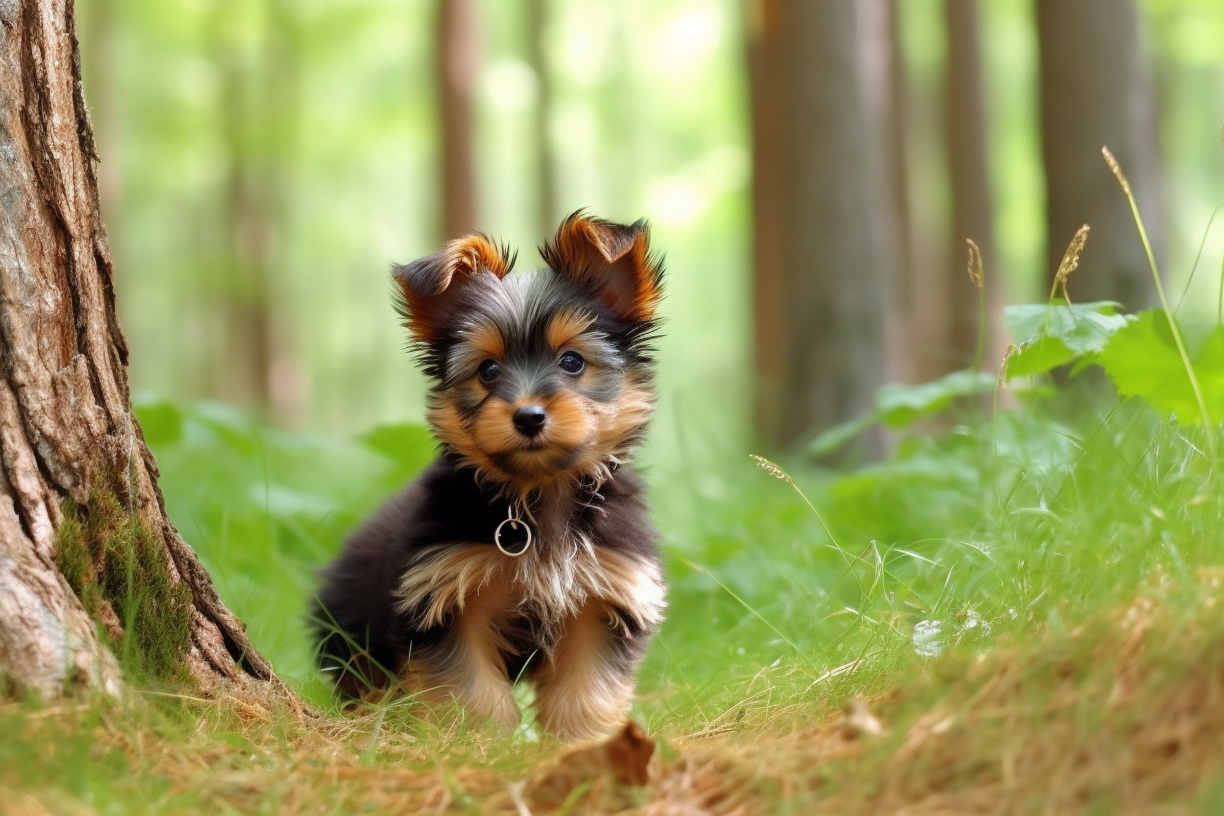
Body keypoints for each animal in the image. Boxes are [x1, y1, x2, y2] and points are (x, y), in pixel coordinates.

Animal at [310, 210, 665, 738]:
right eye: (488, 370)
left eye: (572, 361)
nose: (528, 416)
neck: (537, 492)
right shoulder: (443, 593)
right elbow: (469, 688)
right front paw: (478, 741)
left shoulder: (606, 592)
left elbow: (586, 689)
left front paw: (583, 743)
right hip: (351, 618)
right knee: (364, 673)